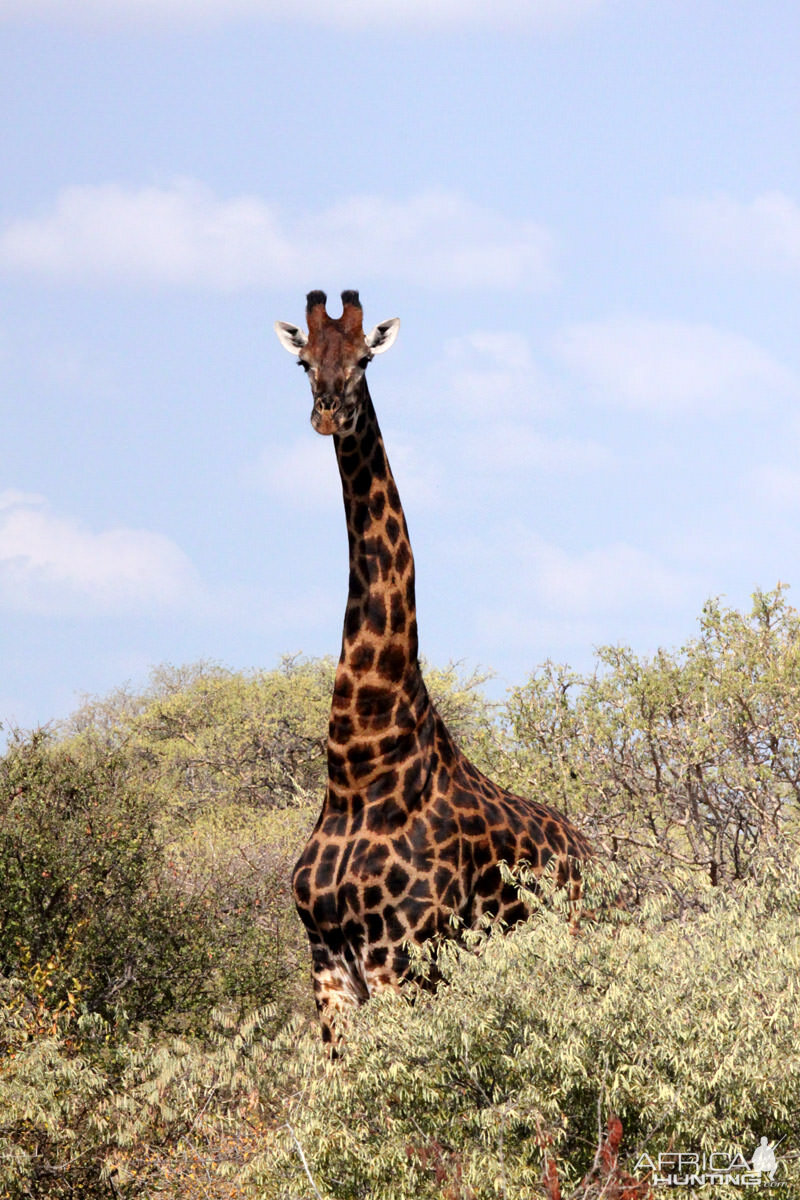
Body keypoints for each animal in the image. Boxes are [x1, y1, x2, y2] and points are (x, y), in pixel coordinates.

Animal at [273, 292, 587, 1051]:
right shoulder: (328, 966)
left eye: (364, 359)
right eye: (303, 360)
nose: (328, 413)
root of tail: (592, 854)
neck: (357, 764)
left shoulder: (401, 958)